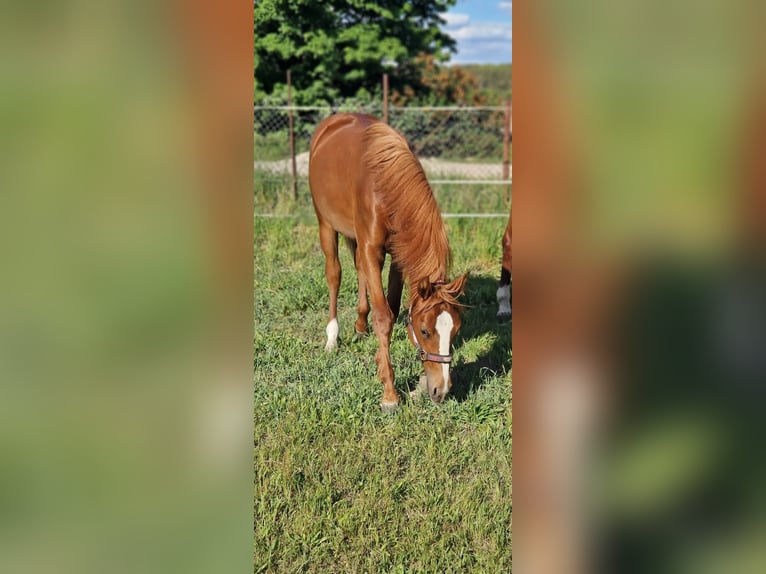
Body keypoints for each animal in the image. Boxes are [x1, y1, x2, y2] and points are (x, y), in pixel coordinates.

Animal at [308, 113, 468, 410]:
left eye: (455, 330)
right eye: (425, 331)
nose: (441, 390)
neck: (385, 188)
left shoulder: (396, 257)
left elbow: (391, 310)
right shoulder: (372, 248)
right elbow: (383, 316)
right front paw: (390, 394)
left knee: (359, 269)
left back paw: (360, 325)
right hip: (326, 225)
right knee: (334, 274)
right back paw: (332, 337)